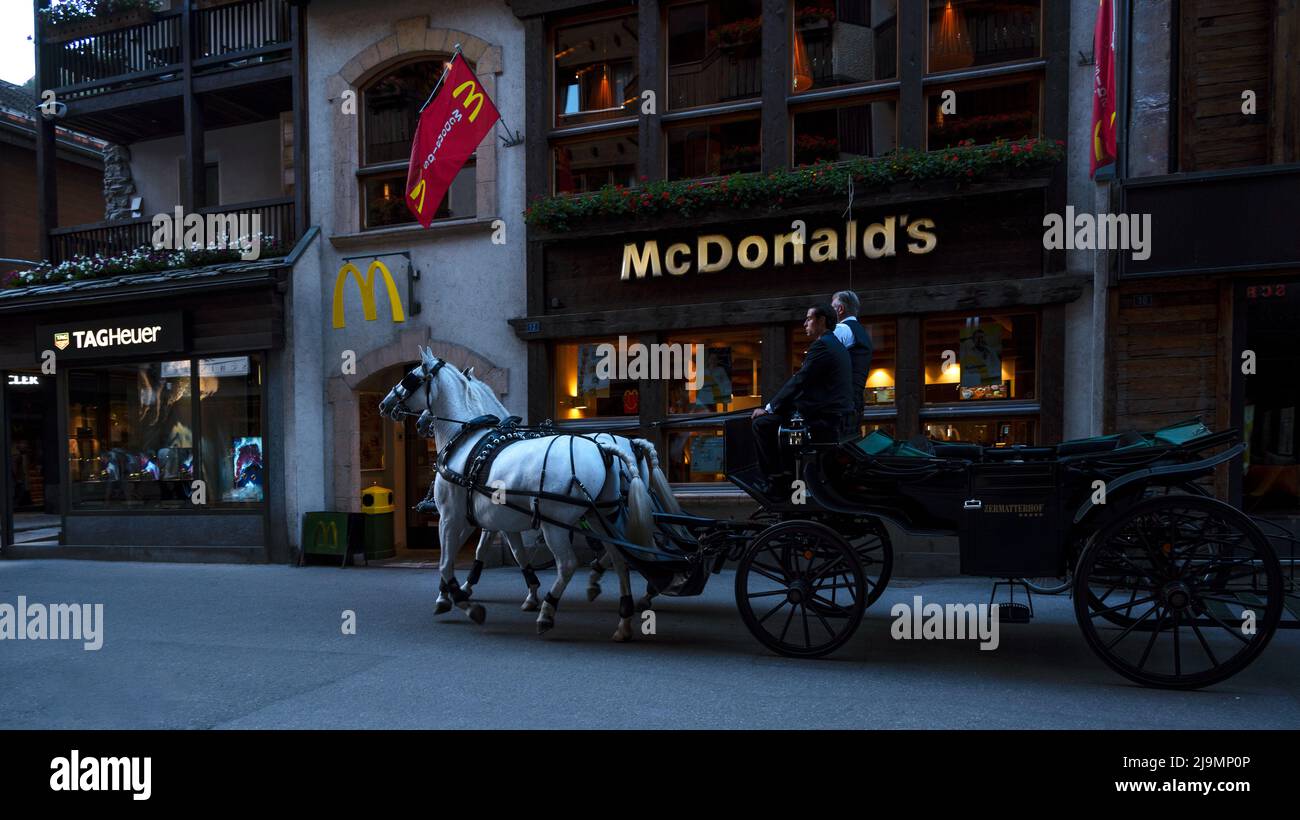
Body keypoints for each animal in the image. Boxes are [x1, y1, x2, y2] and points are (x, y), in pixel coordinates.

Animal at [379, 348, 655, 641]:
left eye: (409, 377)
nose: (385, 404)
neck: (466, 441)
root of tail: (607, 449)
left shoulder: (453, 518)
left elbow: (447, 561)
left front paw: (463, 599)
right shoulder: (489, 519)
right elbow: (506, 554)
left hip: (555, 524)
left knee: (568, 564)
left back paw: (549, 611)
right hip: (601, 516)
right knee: (619, 558)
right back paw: (623, 618)